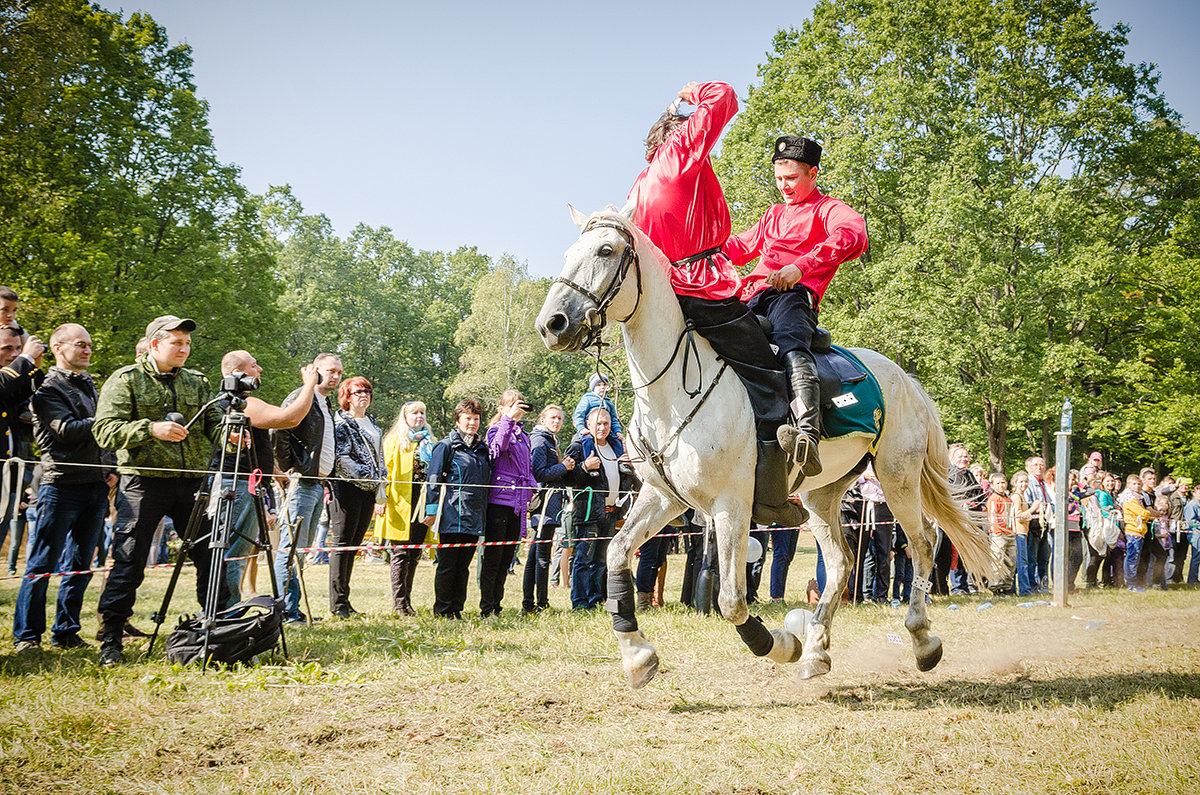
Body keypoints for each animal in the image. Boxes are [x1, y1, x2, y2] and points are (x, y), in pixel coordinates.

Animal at [537, 205, 993, 691]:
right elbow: (617, 552)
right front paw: (637, 654)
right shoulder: (664, 497)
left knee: (924, 543)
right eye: (568, 253)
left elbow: (732, 600)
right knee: (842, 563)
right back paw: (816, 651)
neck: (673, 388)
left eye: (606, 250)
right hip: (821, 495)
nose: (551, 324)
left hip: (897, 477)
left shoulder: (730, 505)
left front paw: (781, 644)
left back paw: (920, 639)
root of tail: (906, 380)